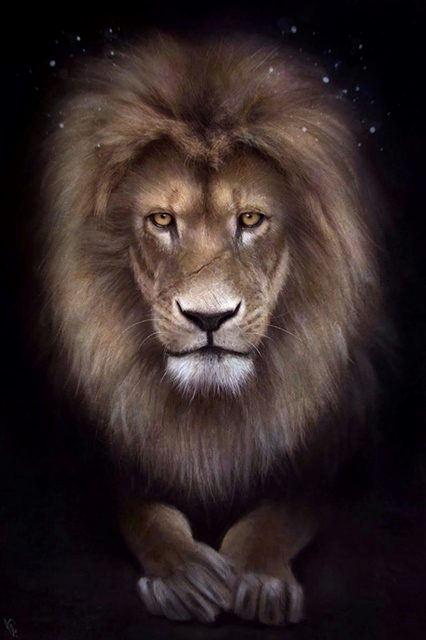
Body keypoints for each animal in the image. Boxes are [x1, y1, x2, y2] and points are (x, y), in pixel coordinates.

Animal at [37, 32, 386, 626]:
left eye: (250, 219)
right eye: (161, 220)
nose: (208, 317)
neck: (211, 408)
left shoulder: (328, 451)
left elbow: (282, 513)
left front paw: (258, 576)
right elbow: (143, 513)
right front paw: (185, 575)